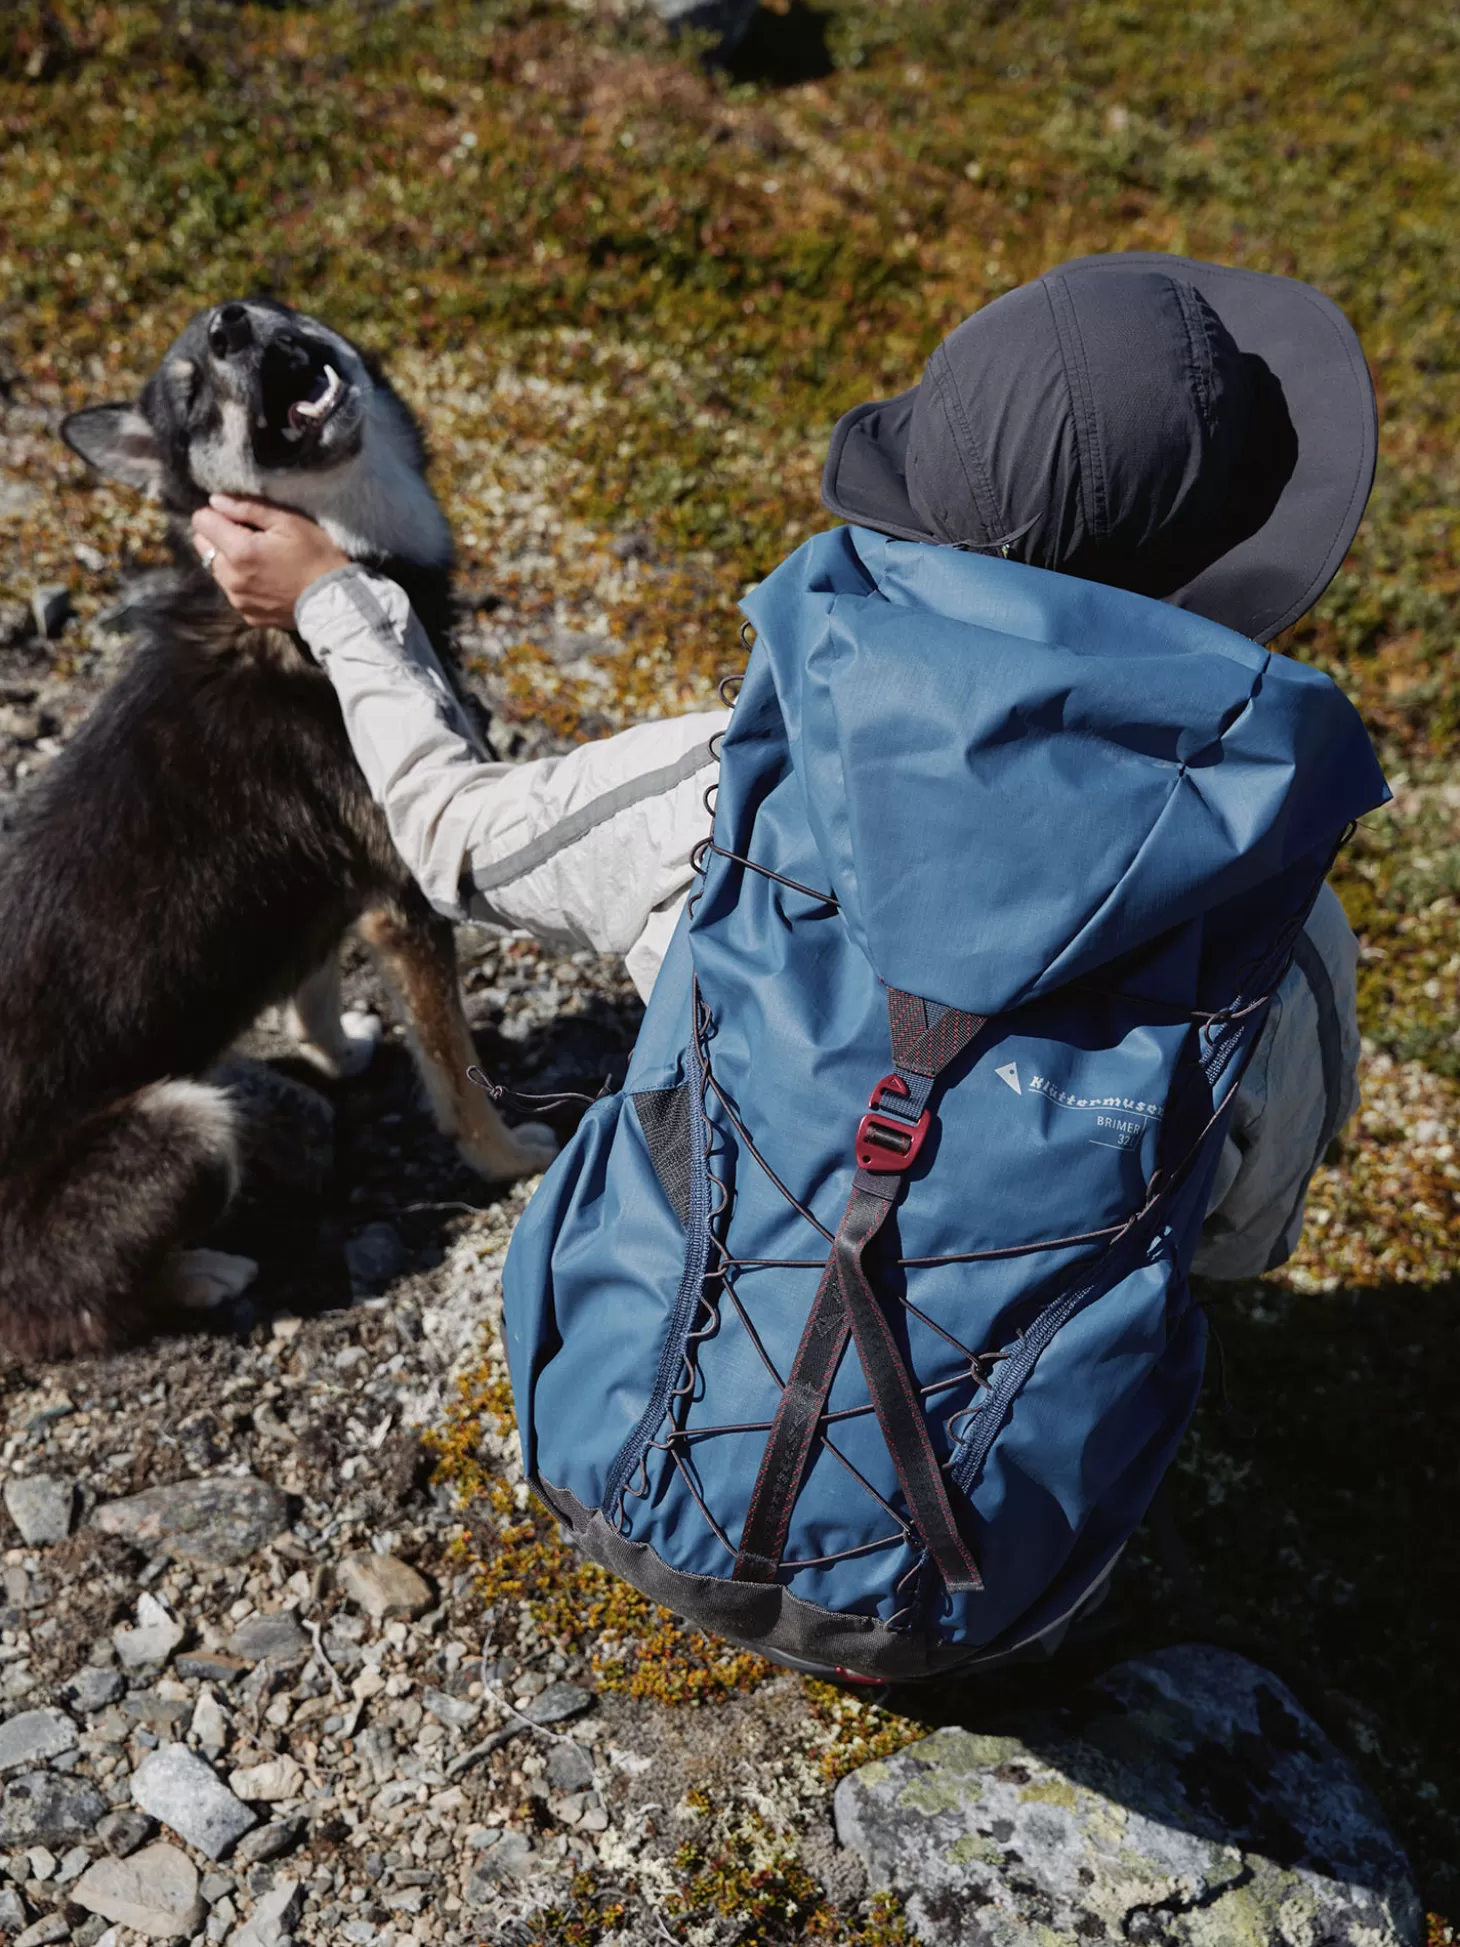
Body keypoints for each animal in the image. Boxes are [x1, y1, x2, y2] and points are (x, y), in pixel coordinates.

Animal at [0, 295, 560, 1362]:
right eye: (190, 397)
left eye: (264, 309)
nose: (230, 325)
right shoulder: (407, 887)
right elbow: (458, 1072)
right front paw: (506, 1158)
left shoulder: (334, 889)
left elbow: (314, 981)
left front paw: (337, 1051)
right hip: (189, 1125)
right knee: (74, 1308)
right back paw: (203, 1271)